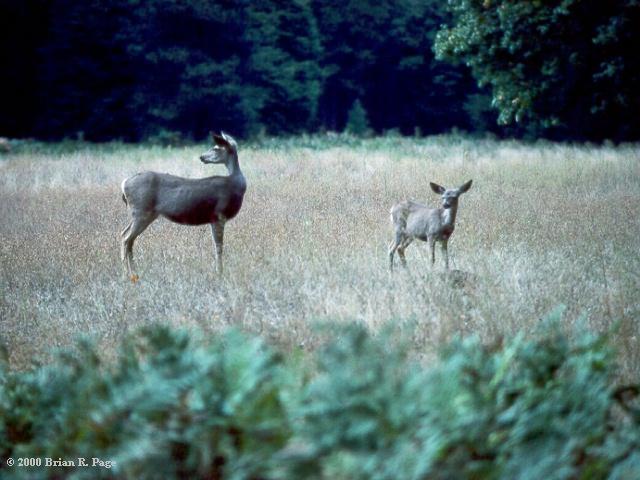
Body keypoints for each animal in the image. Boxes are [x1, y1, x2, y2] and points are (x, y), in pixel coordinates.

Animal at [120, 131, 245, 282]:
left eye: (216, 148)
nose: (201, 157)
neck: (236, 185)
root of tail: (124, 183)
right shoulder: (219, 215)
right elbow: (219, 247)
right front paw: (219, 274)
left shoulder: (214, 219)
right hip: (141, 211)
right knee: (127, 239)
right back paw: (131, 275)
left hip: (142, 214)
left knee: (124, 235)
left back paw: (129, 273)